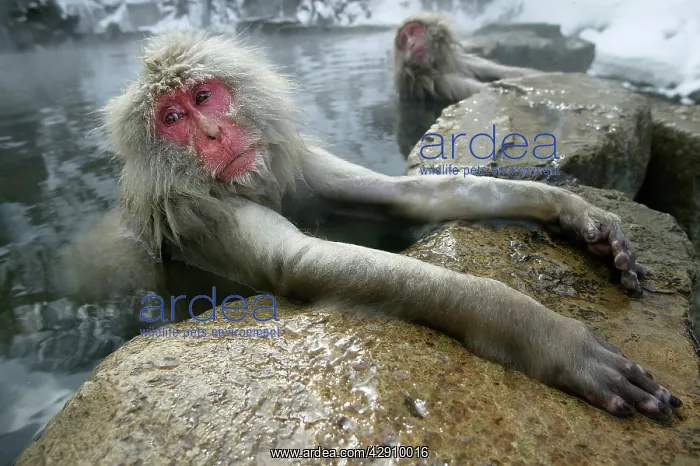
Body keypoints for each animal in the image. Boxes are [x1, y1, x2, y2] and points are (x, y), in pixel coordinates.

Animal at [72, 30, 681, 422]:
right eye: (172, 119)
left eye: (203, 97)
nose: (212, 135)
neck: (246, 184)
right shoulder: (199, 213)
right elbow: (299, 263)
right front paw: (549, 336)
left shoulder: (296, 166)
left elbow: (402, 198)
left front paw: (570, 208)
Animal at [393, 11, 541, 102]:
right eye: (404, 40)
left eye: (413, 31)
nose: (411, 44)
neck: (436, 65)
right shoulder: (429, 80)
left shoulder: (456, 60)